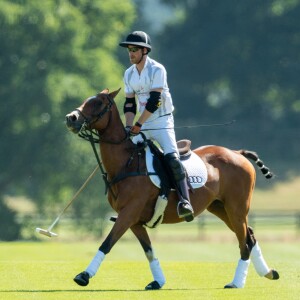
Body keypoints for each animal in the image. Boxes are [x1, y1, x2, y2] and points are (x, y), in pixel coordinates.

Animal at [65, 88, 278, 288]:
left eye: (98, 103)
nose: (70, 118)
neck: (126, 163)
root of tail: (237, 152)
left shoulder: (129, 213)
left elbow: (107, 243)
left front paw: (84, 275)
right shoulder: (134, 220)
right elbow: (149, 251)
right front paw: (158, 281)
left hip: (237, 207)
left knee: (244, 242)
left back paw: (237, 282)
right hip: (219, 207)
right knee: (249, 235)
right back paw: (268, 272)